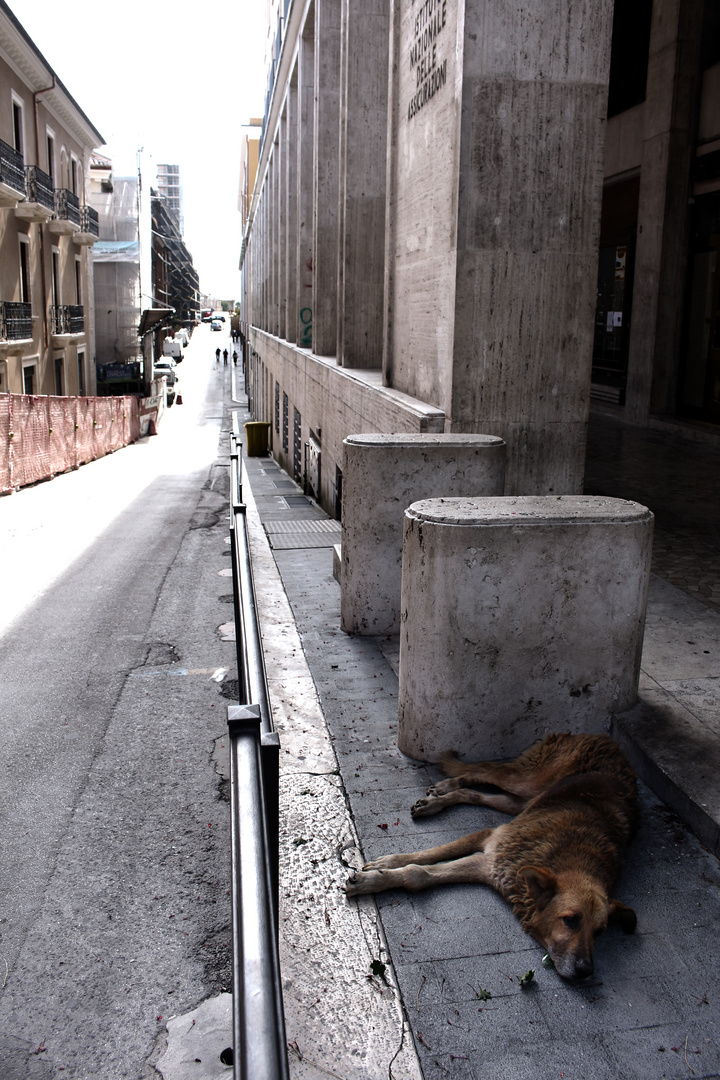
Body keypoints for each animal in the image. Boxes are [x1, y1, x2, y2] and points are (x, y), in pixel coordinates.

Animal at [345, 734, 639, 980]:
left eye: (600, 931)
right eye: (570, 920)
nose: (585, 971)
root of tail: (605, 740)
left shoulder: (492, 864)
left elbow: (422, 873)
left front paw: (381, 873)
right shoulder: (490, 843)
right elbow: (423, 860)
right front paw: (382, 869)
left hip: (523, 801)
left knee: (474, 792)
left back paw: (441, 797)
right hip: (527, 781)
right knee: (482, 771)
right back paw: (444, 787)